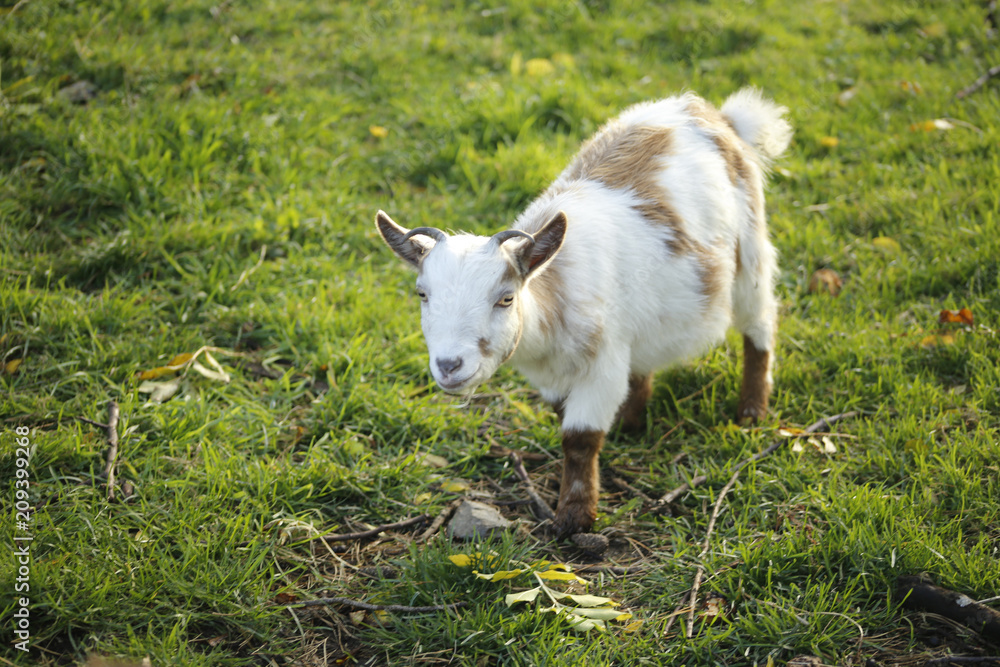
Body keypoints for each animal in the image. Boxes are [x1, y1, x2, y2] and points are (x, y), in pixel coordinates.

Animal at [375, 88, 792, 536]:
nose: (450, 365)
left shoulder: (601, 366)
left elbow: (580, 438)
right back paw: (631, 419)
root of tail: (713, 114)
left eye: (505, 298)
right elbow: (565, 422)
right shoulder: (555, 376)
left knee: (760, 326)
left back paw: (751, 411)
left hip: (750, 257)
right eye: (422, 294)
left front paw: (575, 519)